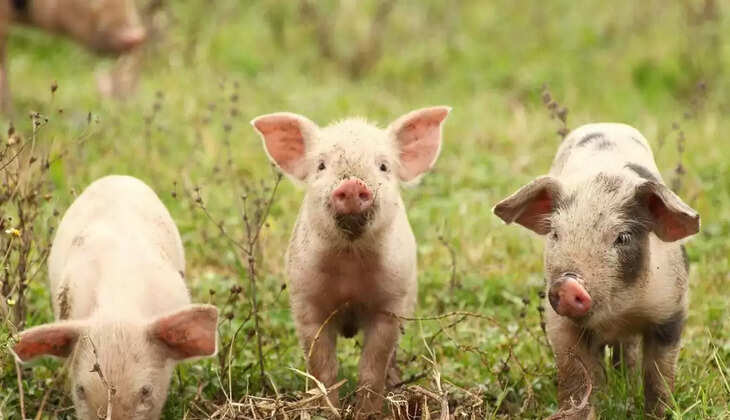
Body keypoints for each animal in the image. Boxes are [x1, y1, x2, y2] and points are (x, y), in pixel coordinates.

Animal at [251, 106, 450, 417]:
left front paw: (367, 414)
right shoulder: (306, 303)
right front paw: (326, 411)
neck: (350, 264)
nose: (353, 183)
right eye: (321, 165)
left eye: (383, 166)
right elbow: (323, 369)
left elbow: (371, 367)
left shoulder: (390, 305)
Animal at [493, 123, 700, 419]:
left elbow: (659, 376)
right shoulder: (560, 324)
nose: (568, 284)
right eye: (555, 234)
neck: (617, 313)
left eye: (623, 237)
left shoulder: (671, 309)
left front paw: (661, 413)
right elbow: (576, 377)